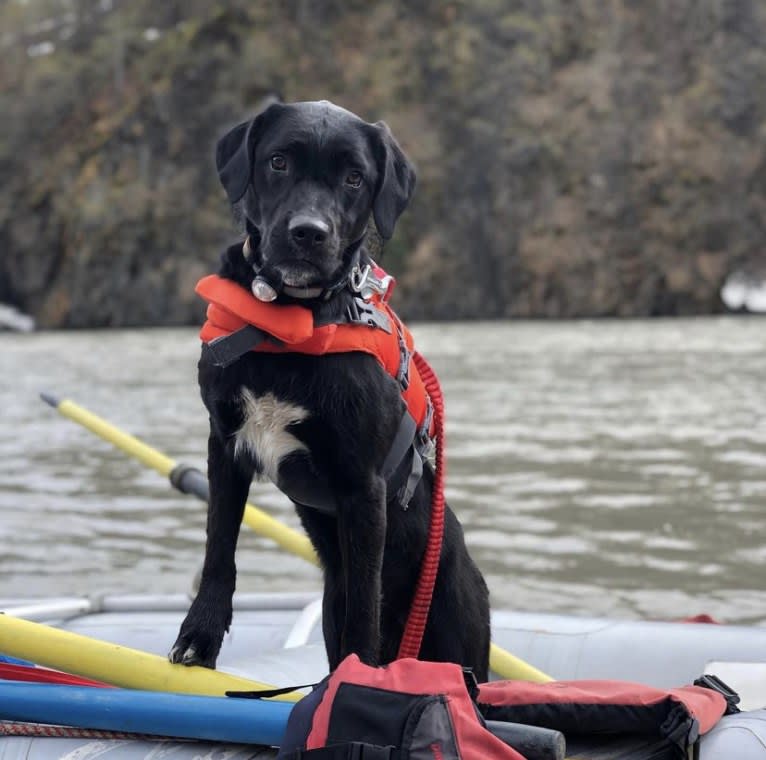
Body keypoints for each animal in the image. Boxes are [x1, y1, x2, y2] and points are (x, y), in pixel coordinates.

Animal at [170, 99, 488, 676]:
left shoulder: (363, 487)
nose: (308, 233)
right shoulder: (224, 444)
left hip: (460, 635)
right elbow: (219, 549)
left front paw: (356, 680)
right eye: (278, 162)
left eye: (354, 177)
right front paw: (199, 636)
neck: (288, 322)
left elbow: (366, 603)